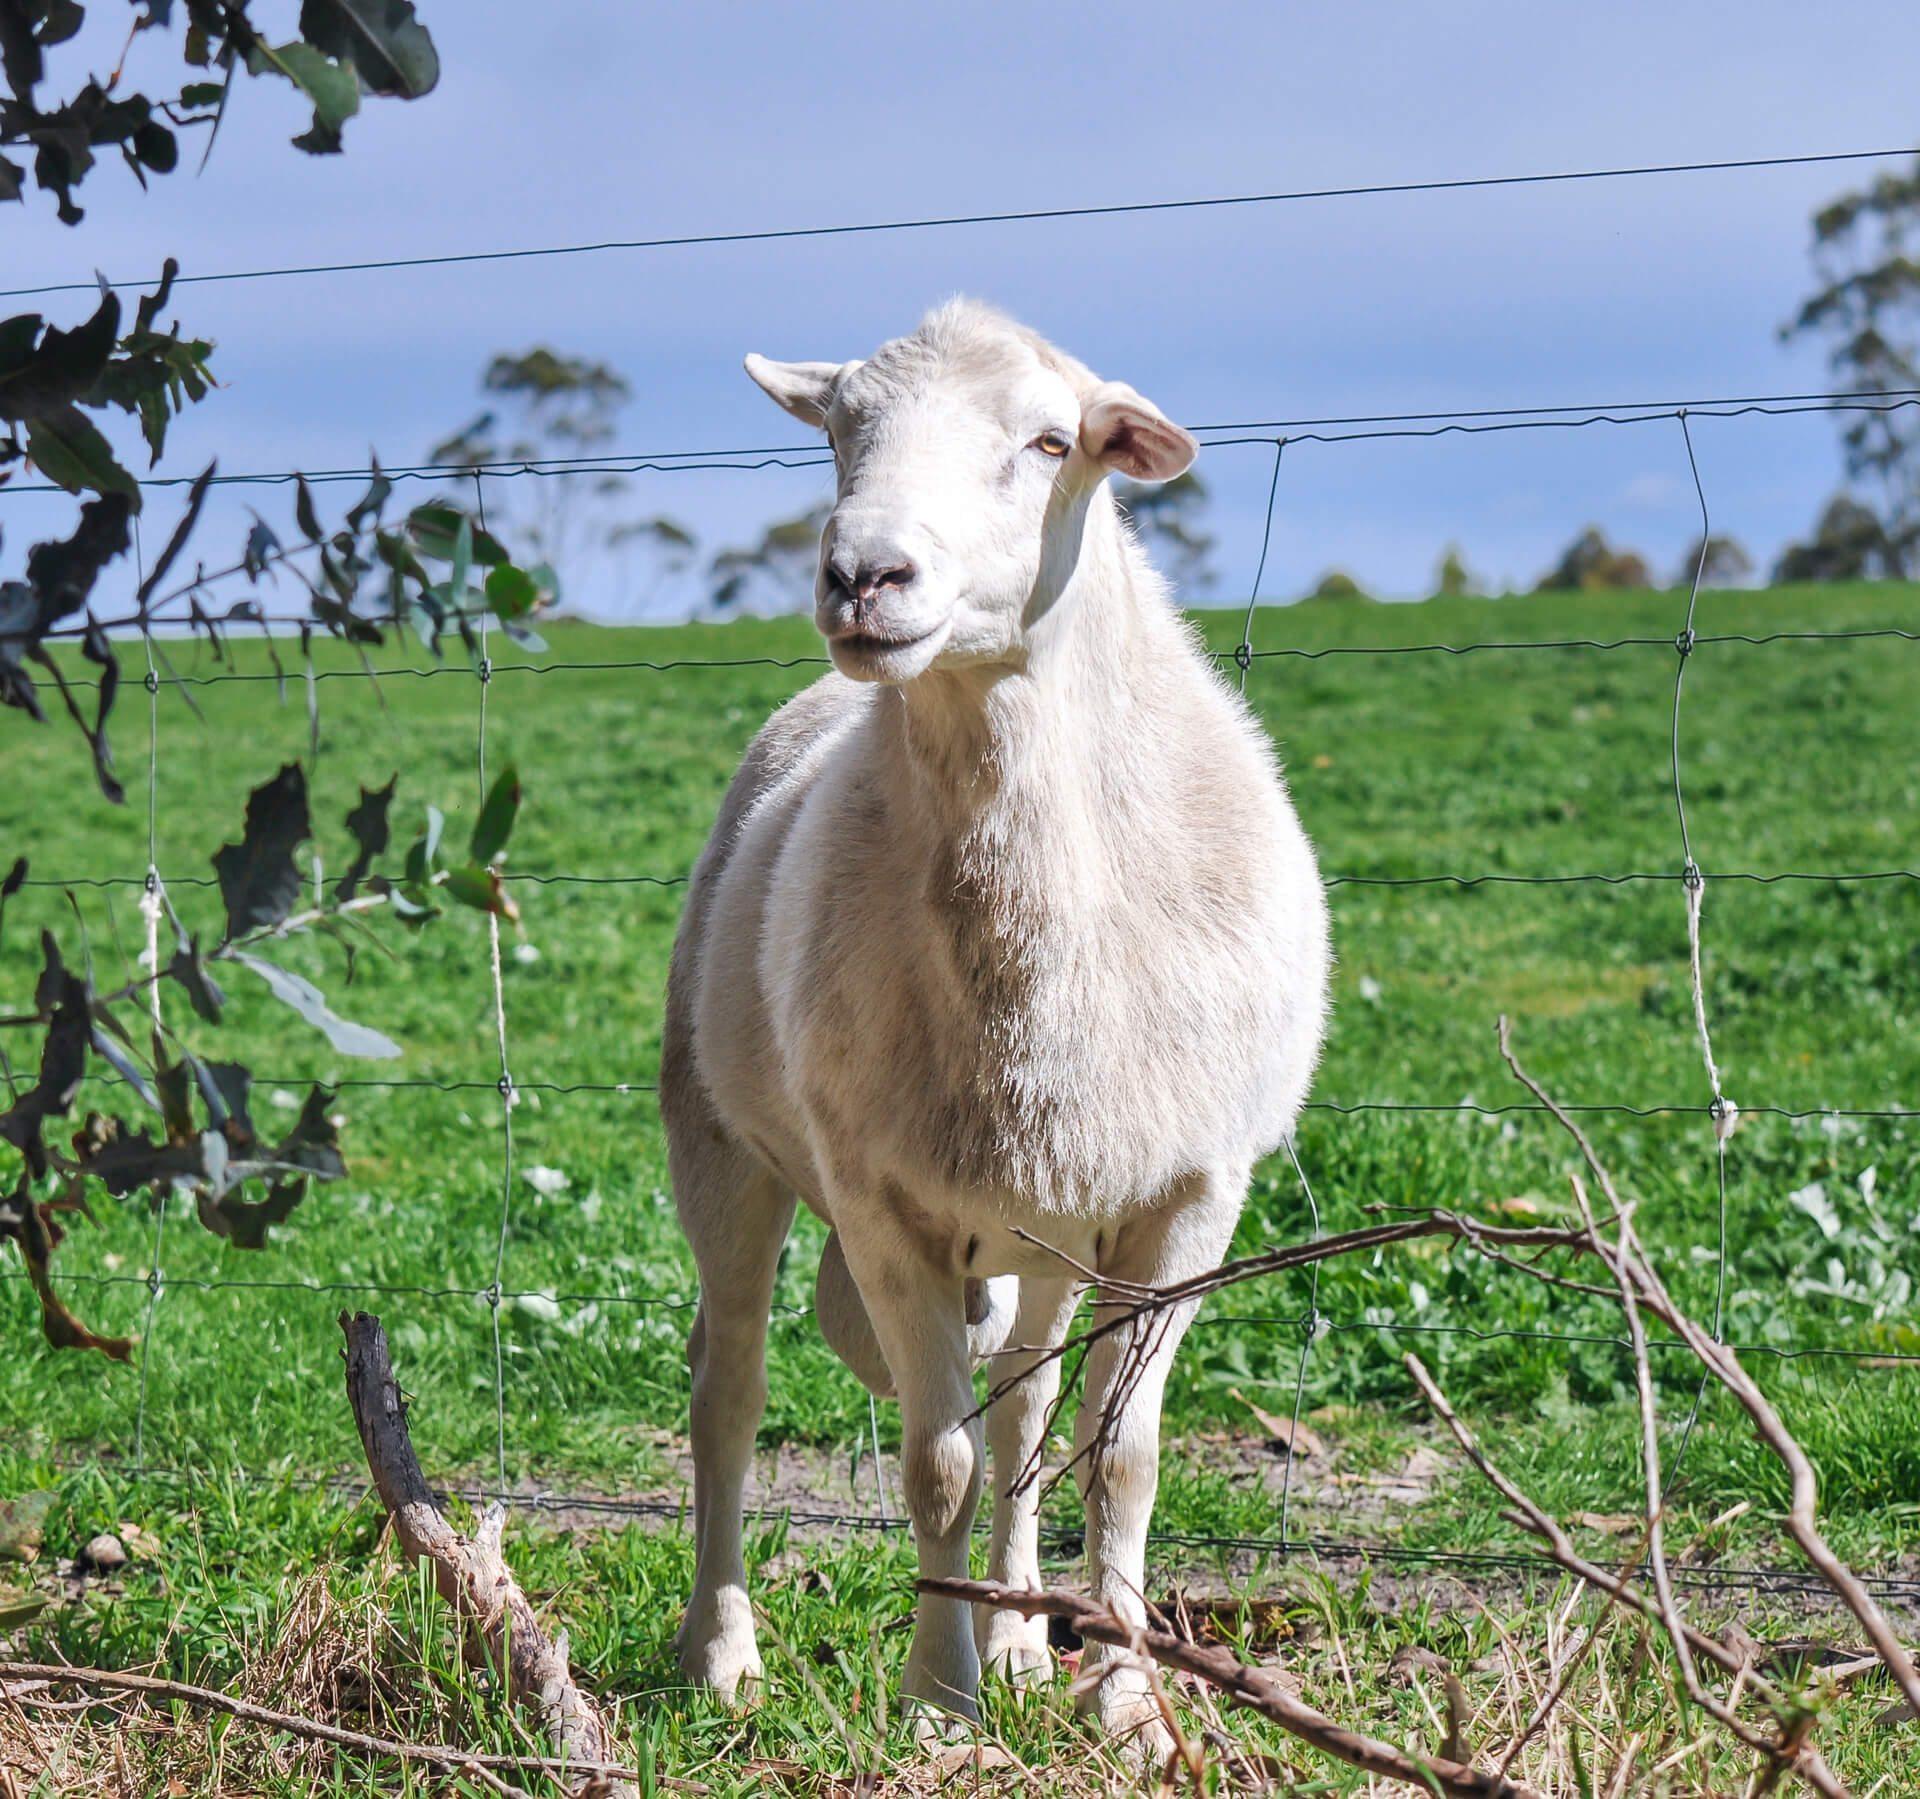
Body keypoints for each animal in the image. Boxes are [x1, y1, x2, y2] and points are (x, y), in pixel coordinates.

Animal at [668, 301, 1328, 1751]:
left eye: (1048, 441)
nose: (862, 574)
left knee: (1028, 1404)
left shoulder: (1186, 1198)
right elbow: (939, 1459)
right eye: (842, 428)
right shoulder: (879, 1201)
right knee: (729, 1391)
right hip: (720, 1144)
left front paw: (1125, 1699)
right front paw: (939, 1703)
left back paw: (1026, 1638)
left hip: (1048, 1228)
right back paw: (723, 1653)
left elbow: (1116, 1455)